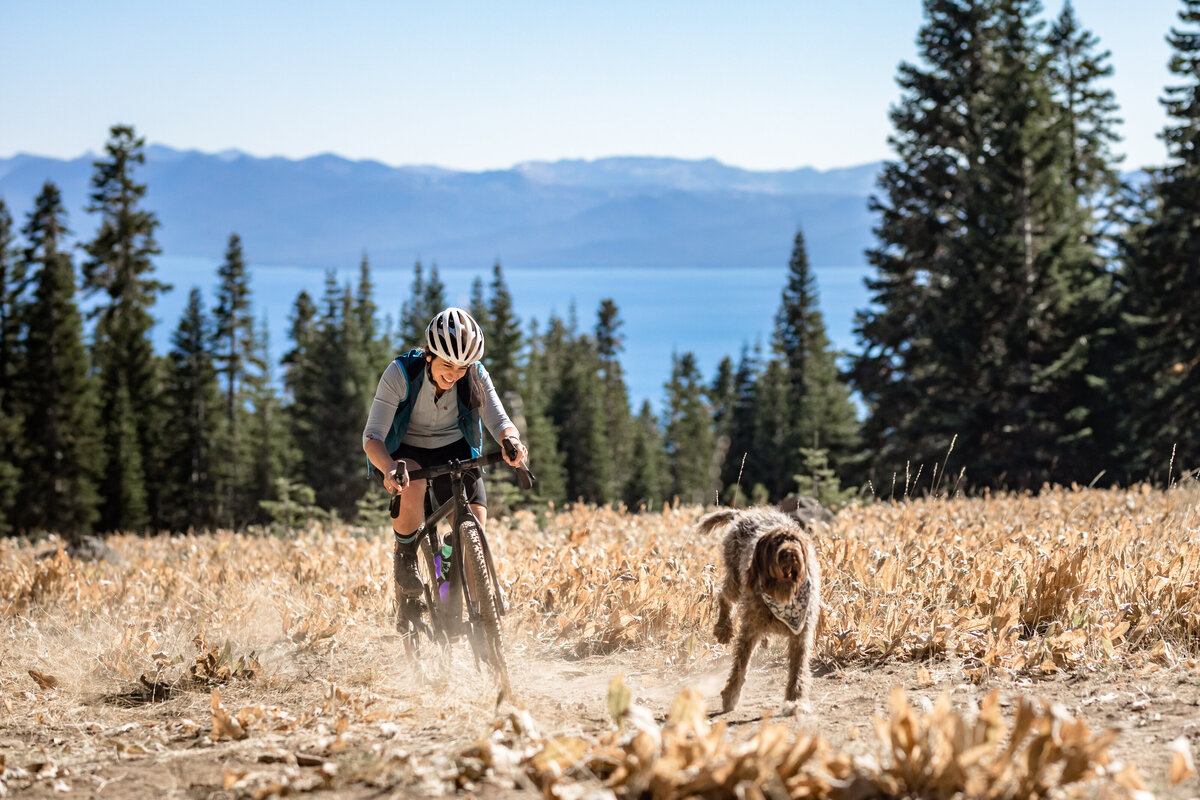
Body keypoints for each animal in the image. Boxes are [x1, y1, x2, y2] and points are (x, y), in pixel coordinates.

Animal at [700, 506, 820, 714]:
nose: (789, 553)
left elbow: (798, 670)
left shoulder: (801, 633)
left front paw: (795, 700)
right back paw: (724, 629)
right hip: (736, 579)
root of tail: (743, 514)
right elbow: (740, 664)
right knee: (723, 594)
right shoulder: (750, 629)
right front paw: (731, 694)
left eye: (795, 541)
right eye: (776, 542)